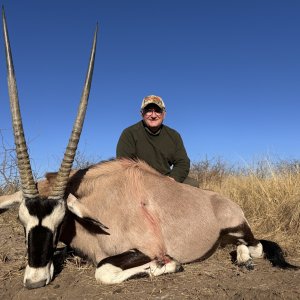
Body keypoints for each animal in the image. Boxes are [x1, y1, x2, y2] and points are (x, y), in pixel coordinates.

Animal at [0, 9, 298, 290]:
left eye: (61, 220)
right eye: (21, 222)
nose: (35, 281)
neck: (100, 199)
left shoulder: (145, 248)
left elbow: (104, 270)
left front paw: (170, 265)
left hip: (239, 227)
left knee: (256, 246)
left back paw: (245, 260)